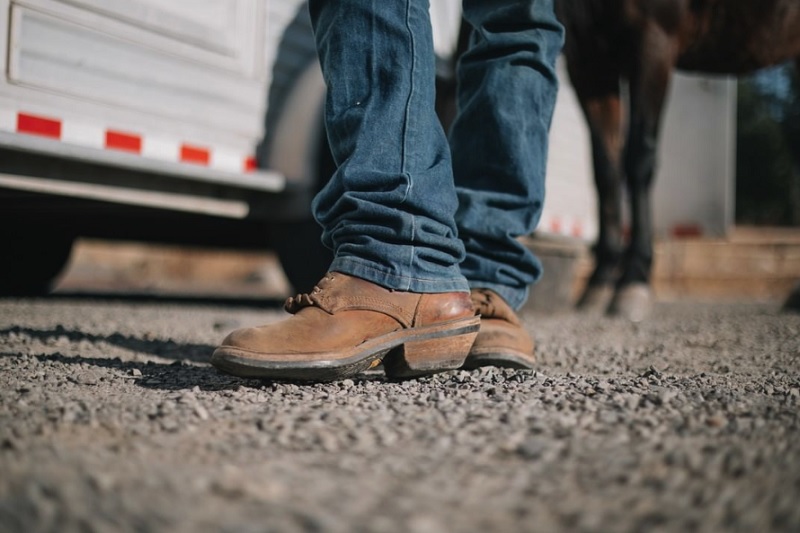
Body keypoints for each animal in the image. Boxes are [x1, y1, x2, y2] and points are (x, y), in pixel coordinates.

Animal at [552, 0, 800, 318]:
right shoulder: (587, 59)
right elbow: (605, 172)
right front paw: (599, 282)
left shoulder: (654, 42)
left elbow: (637, 159)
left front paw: (633, 280)